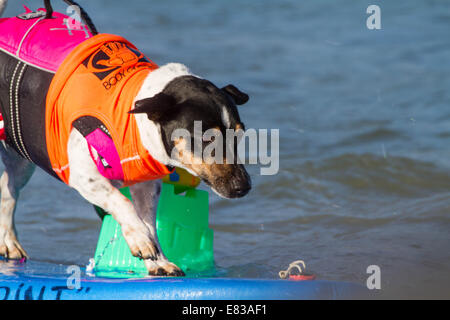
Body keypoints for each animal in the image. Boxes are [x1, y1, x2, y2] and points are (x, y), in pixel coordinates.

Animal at [0, 0, 250, 276]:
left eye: (239, 135)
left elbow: (150, 223)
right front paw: (140, 239)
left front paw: (158, 261)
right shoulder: (83, 176)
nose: (244, 187)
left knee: (7, 187)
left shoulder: (146, 186)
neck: (133, 117)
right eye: (206, 139)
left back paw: (8, 241)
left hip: (21, 156)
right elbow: (122, 203)